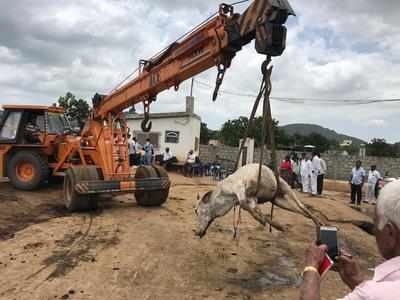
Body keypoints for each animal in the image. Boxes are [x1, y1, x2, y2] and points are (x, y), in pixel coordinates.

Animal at [195, 163, 324, 238]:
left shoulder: (240, 191)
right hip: (278, 201)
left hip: (285, 186)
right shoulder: (251, 199)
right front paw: (278, 226)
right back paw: (317, 223)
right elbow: (253, 211)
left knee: (302, 206)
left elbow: (249, 208)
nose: (197, 232)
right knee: (300, 211)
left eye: (199, 211)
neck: (225, 195)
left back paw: (318, 221)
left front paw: (268, 223)